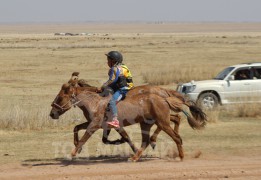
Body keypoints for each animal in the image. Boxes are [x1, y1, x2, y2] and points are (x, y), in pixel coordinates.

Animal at [49, 80, 206, 162]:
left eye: (60, 97)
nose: (52, 113)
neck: (95, 102)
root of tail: (163, 95)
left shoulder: (95, 125)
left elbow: (85, 137)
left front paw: (73, 153)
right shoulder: (102, 124)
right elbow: (77, 128)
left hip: (161, 121)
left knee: (175, 135)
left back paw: (179, 156)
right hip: (148, 123)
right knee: (159, 132)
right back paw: (137, 156)